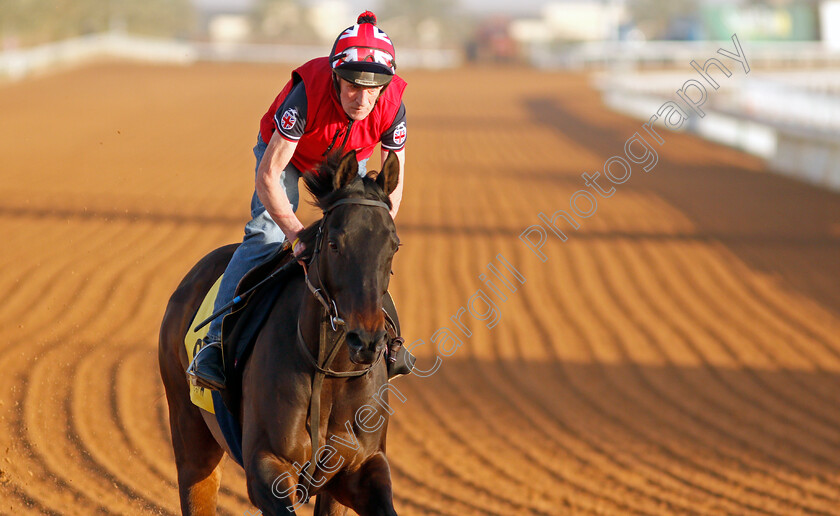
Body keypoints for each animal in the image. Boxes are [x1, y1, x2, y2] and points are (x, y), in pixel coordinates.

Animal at [162, 150, 406, 516]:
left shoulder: (358, 468)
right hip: (189, 431)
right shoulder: (267, 465)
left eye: (393, 245)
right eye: (334, 244)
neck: (329, 371)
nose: (367, 340)